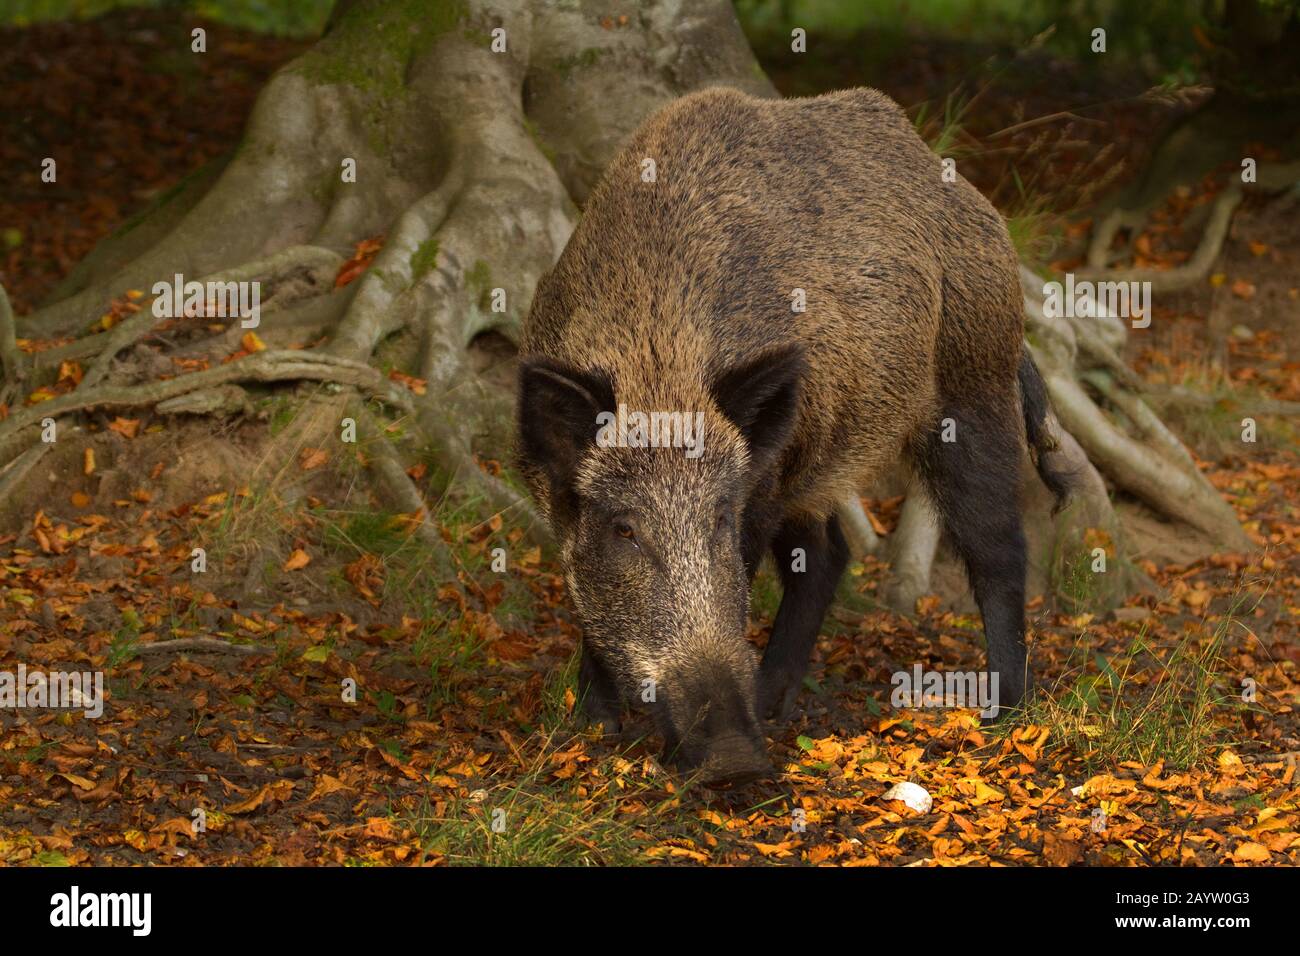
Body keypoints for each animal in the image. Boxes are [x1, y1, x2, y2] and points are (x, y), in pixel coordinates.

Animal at [516, 86, 1071, 785]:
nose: (734, 759)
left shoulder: (755, 492)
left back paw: (1003, 713)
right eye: (623, 528)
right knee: (831, 551)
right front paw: (593, 729)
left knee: (998, 545)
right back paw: (776, 699)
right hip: (817, 452)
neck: (659, 362)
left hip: (971, 384)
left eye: (719, 519)